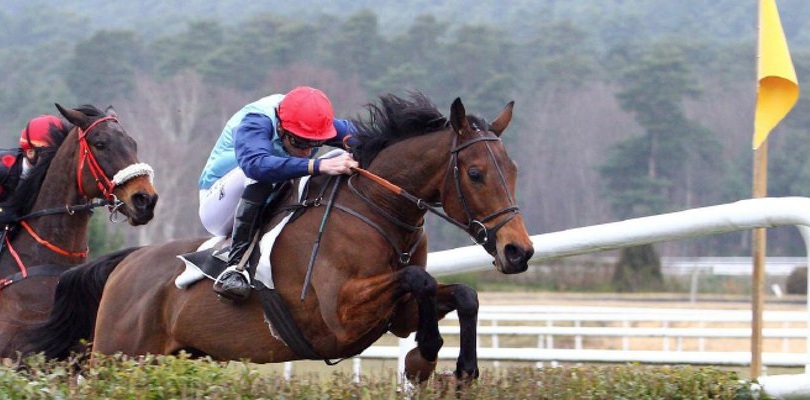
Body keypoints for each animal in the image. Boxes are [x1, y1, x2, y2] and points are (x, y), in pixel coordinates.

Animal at [26, 94, 532, 384]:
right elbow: (419, 280)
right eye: (475, 173)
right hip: (118, 355)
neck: (374, 212)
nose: (518, 251)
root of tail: (126, 262)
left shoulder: (397, 314)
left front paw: (463, 367)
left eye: (513, 170)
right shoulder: (339, 317)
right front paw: (424, 357)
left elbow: (461, 294)